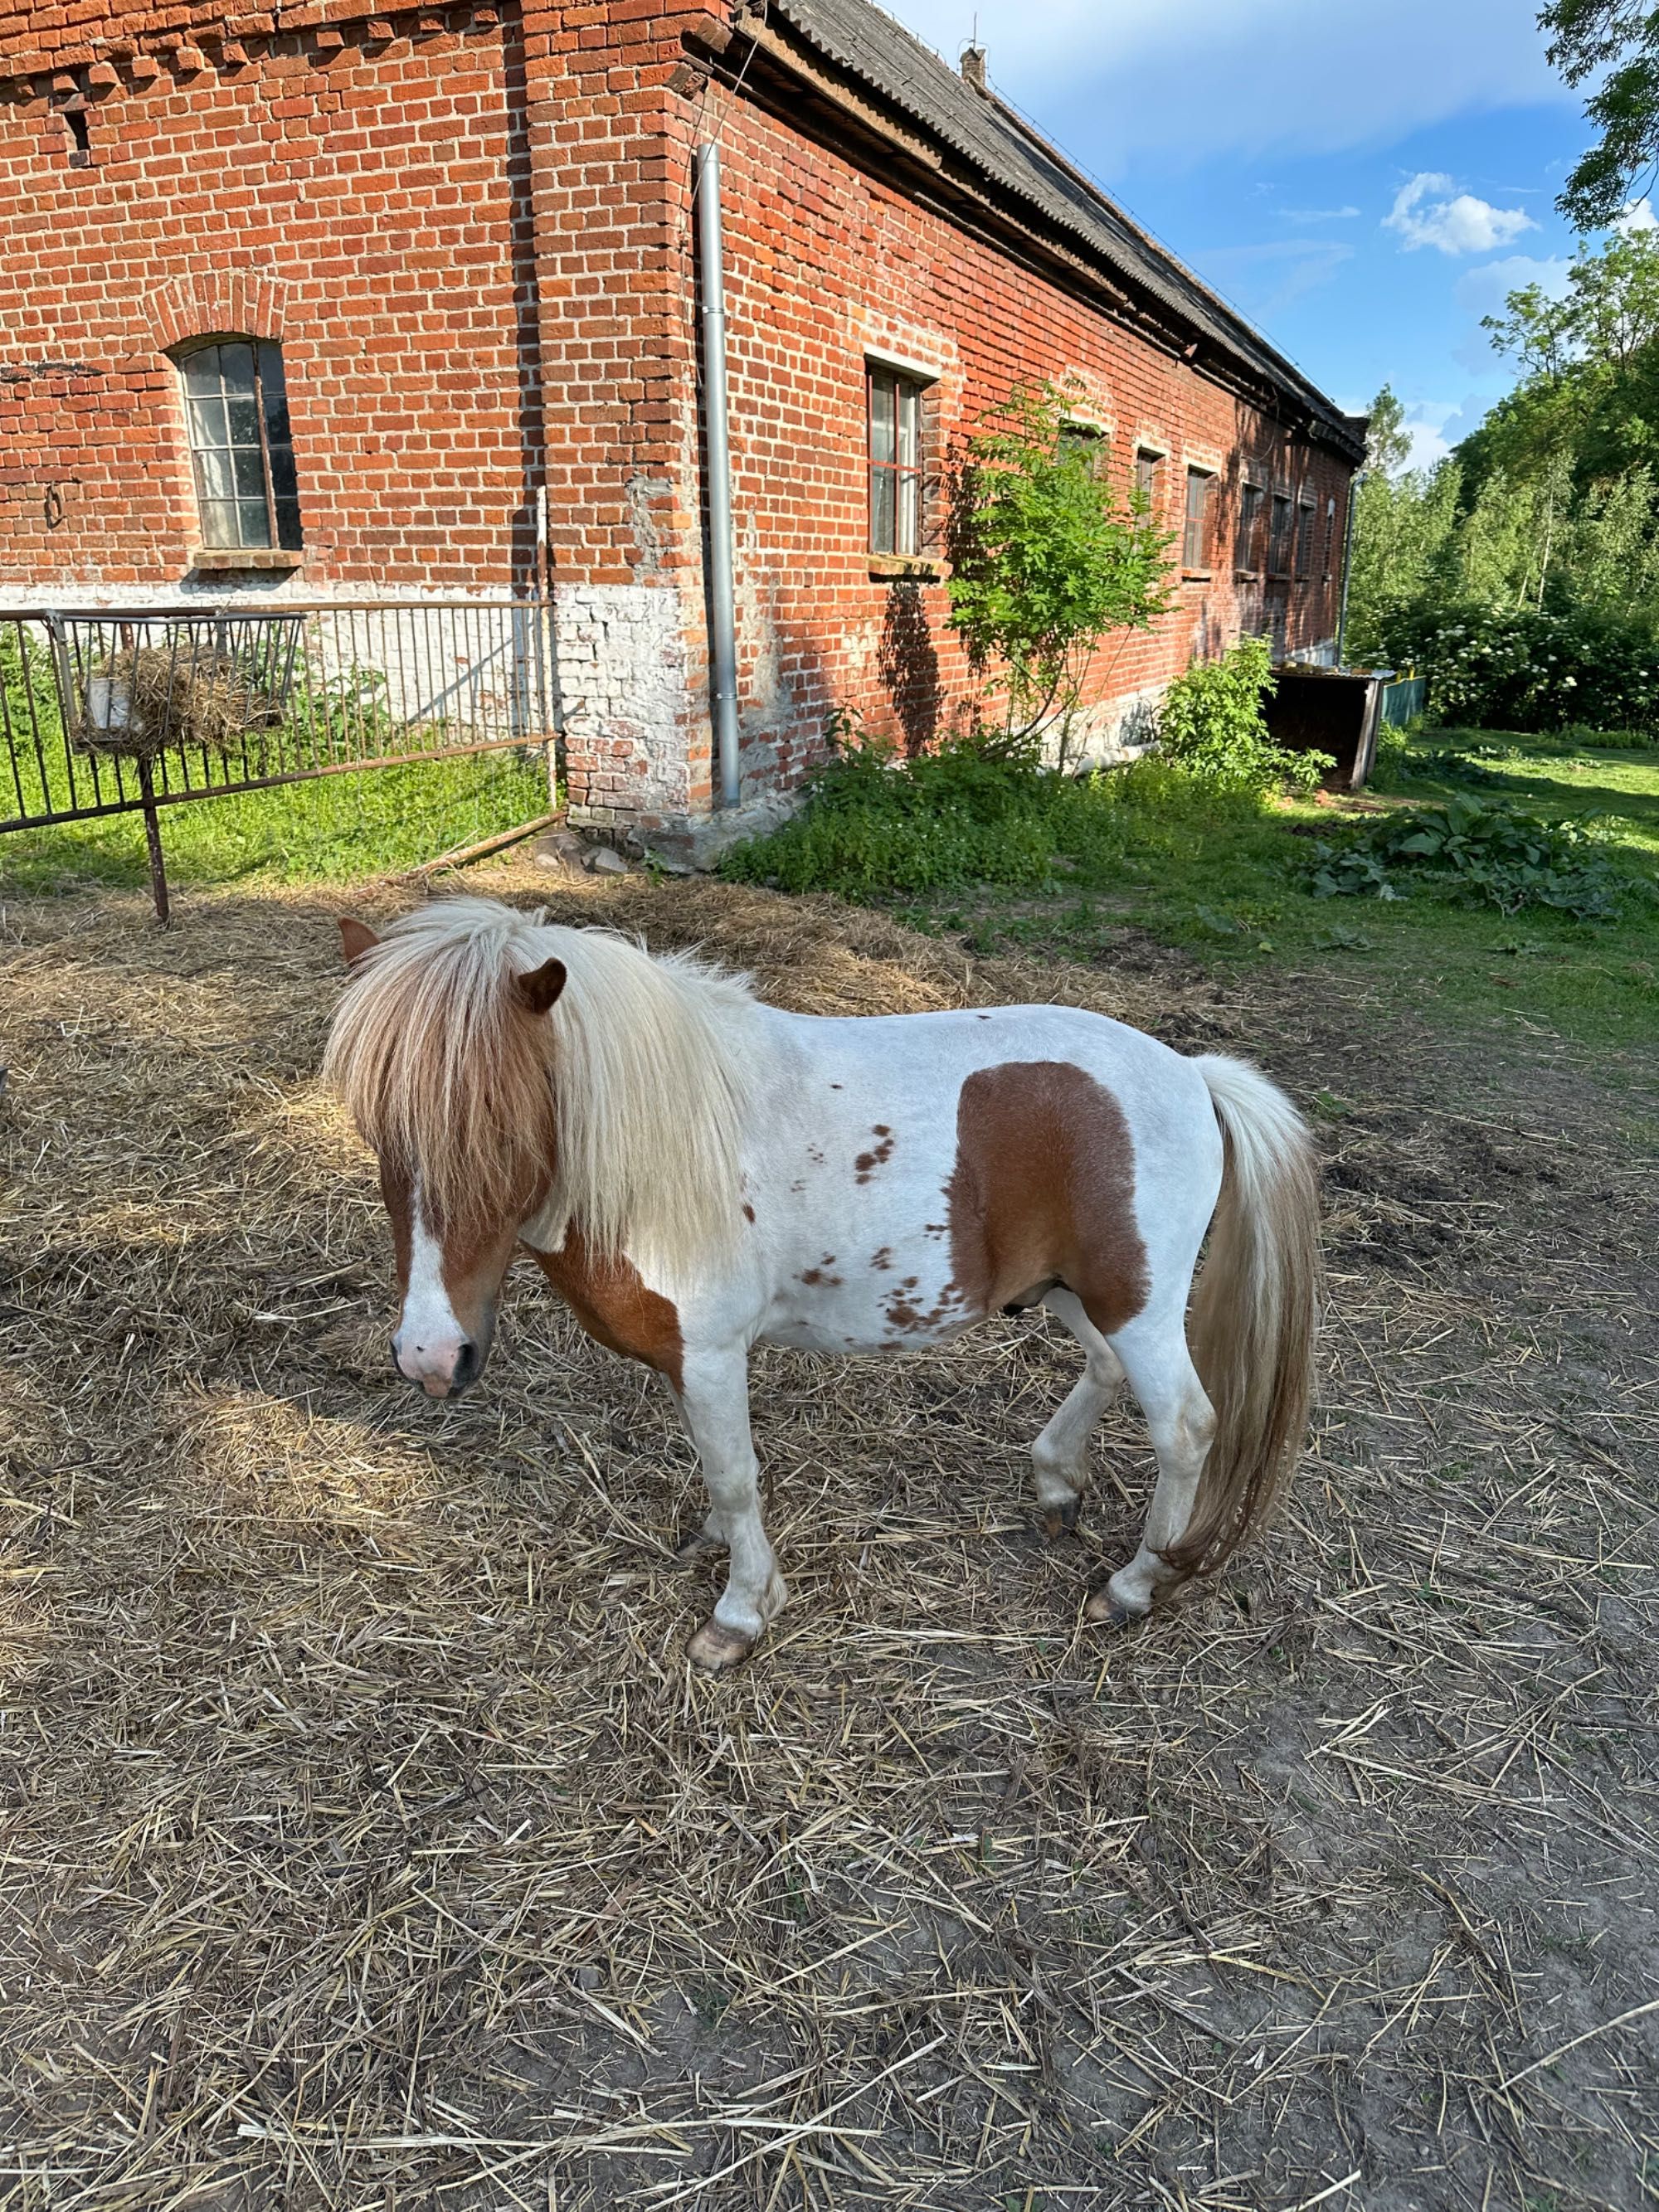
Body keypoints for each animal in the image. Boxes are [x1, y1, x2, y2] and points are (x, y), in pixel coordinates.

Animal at [327, 889, 1327, 1663]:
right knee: (1107, 1371)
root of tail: (1192, 1074)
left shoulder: (711, 1353)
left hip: (1137, 1305)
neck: (669, 1144)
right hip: (1071, 1293)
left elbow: (736, 1475)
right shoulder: (686, 1362)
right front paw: (717, 1547)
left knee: (1186, 1428)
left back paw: (1134, 1584)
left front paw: (741, 1611)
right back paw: (1055, 1487)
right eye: (376, 1129)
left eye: (500, 1133)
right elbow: (712, 1469)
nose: (429, 1356)